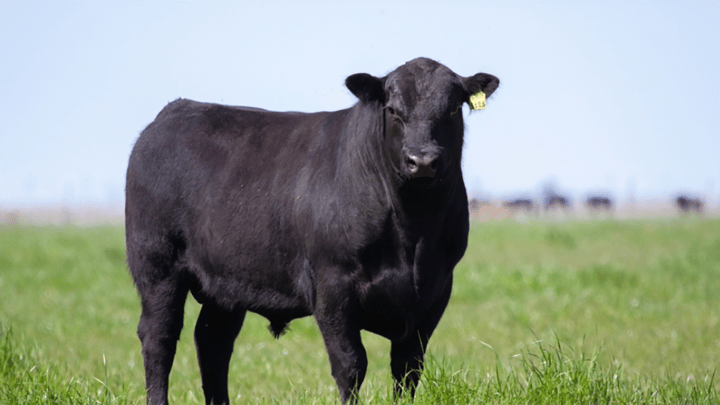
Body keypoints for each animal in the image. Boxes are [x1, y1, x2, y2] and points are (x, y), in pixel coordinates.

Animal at [125, 57, 499, 405]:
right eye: (393, 110)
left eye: (452, 108)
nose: (421, 161)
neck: (412, 233)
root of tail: (176, 110)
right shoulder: (332, 284)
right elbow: (350, 364)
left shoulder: (435, 290)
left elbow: (407, 369)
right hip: (157, 265)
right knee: (159, 338)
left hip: (225, 282)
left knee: (213, 341)